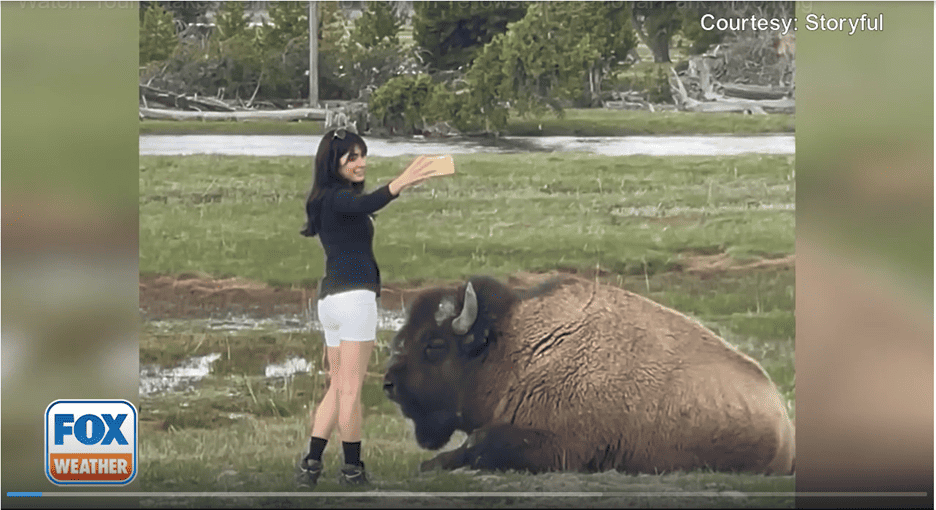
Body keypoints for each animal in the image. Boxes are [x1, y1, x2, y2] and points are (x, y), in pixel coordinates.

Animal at [384, 274, 792, 474]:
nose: (390, 384)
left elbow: (478, 442)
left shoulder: (559, 445)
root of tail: (784, 421)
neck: (515, 349)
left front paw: (430, 464)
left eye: (434, 345)